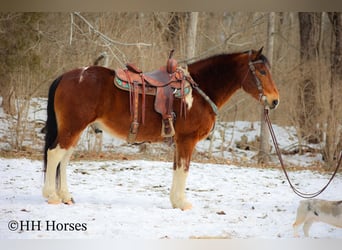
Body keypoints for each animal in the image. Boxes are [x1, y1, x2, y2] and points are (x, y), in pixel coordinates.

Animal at [42, 47, 280, 210]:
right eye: (261, 71)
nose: (275, 101)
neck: (198, 91)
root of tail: (65, 76)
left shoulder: (179, 141)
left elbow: (176, 169)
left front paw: (175, 201)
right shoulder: (186, 140)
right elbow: (184, 169)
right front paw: (183, 203)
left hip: (75, 130)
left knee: (64, 159)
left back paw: (66, 196)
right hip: (72, 128)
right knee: (54, 154)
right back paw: (52, 196)